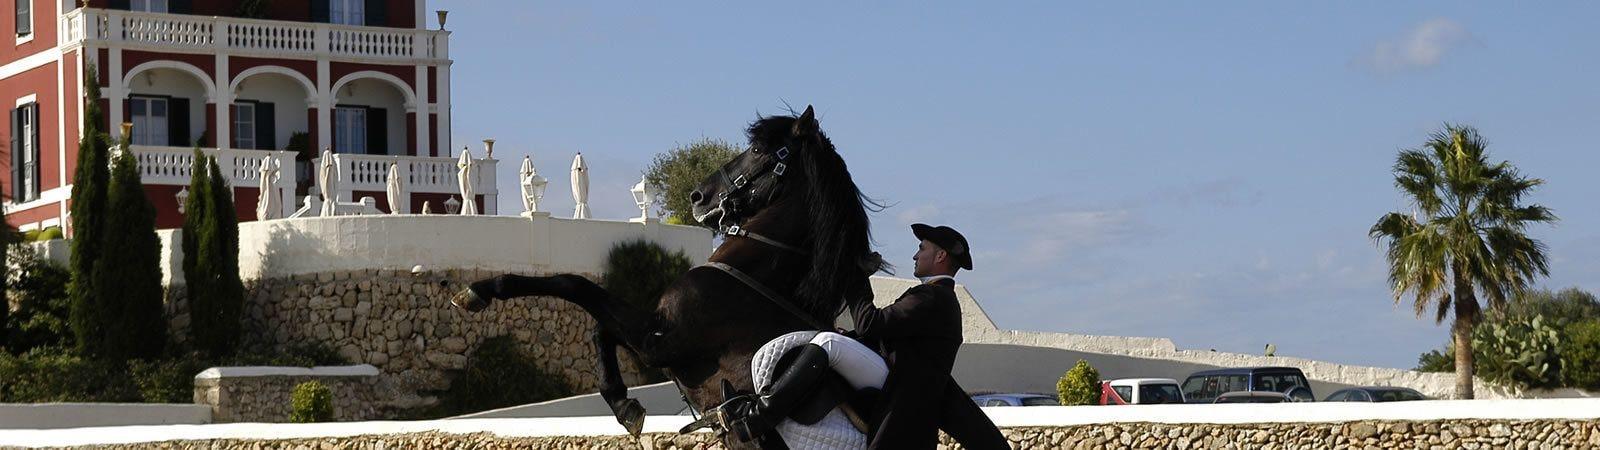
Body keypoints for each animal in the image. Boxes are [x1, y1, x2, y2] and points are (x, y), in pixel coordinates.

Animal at [451, 105, 966, 445]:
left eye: (757, 148)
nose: (698, 197)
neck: (753, 273)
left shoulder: (659, 339)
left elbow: (574, 286)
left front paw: (478, 290)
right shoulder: (654, 336)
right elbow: (598, 327)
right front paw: (624, 404)